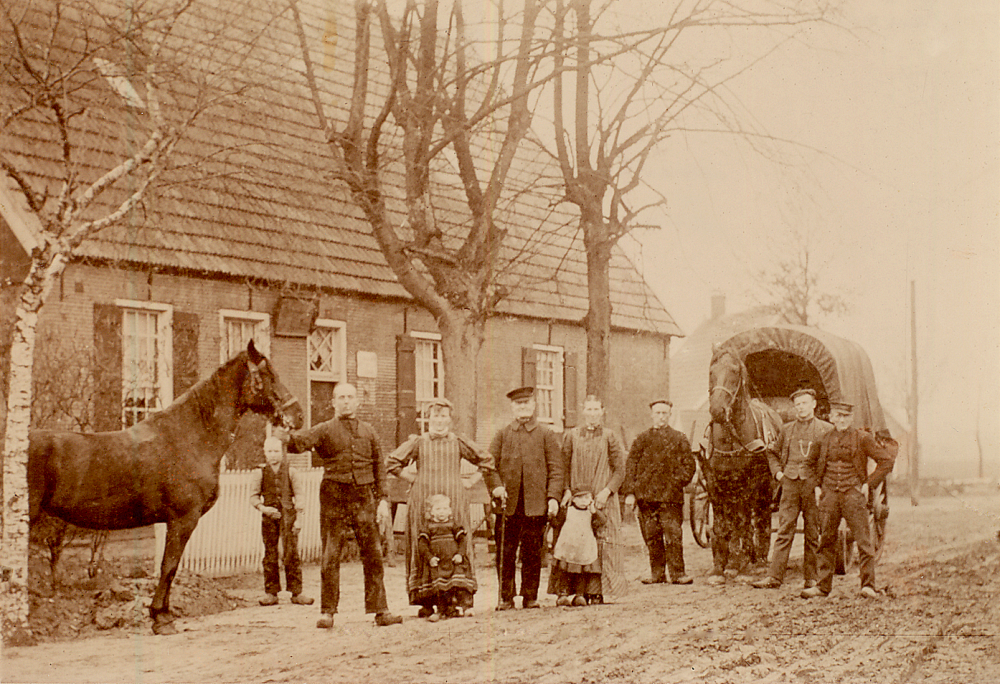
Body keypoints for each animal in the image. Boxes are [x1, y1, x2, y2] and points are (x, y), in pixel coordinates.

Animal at [27, 340, 300, 632]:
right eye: (269, 375)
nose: (297, 415)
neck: (188, 437)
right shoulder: (183, 519)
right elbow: (168, 566)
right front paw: (159, 617)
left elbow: (172, 566)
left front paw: (165, 613)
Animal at [704, 350, 780, 580]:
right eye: (711, 372)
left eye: (735, 372)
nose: (717, 410)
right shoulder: (715, 487)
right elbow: (722, 524)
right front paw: (720, 566)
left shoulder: (748, 487)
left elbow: (742, 523)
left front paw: (739, 562)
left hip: (763, 489)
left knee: (761, 519)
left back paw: (759, 559)